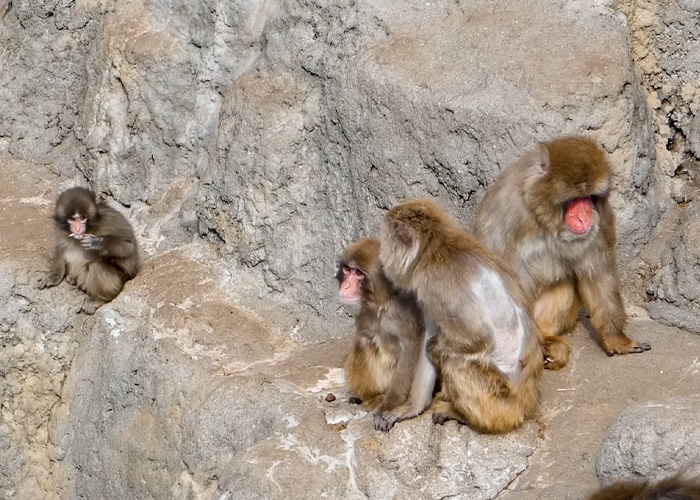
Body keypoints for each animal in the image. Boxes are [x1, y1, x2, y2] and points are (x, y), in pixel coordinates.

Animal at [337, 238, 437, 432]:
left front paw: (389, 406)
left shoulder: (402, 314)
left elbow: (410, 348)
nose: (345, 286)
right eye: (347, 270)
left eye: (358, 273)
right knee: (364, 341)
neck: (382, 302)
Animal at [379, 198, 542, 433]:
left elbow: (478, 337)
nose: (382, 254)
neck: (433, 250)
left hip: (497, 400)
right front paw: (411, 408)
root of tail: (525, 403)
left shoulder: (433, 285)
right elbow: (430, 333)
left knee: (454, 359)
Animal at [474, 137, 651, 370]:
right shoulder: (508, 215)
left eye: (589, 197)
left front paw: (616, 339)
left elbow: (598, 274)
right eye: (574, 199)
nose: (584, 218)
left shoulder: (602, 218)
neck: (544, 219)